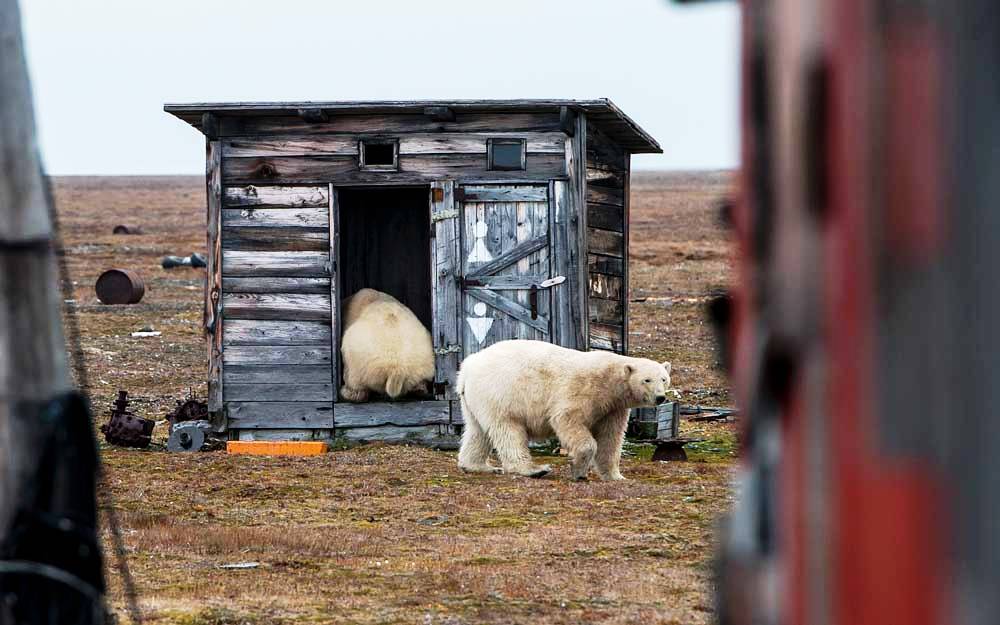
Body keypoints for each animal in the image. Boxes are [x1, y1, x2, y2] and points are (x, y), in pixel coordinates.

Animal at [458, 338, 672, 480]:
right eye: (647, 380)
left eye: (664, 378)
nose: (660, 397)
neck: (610, 380)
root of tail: (467, 367)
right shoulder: (582, 389)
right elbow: (567, 419)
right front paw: (578, 471)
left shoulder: (613, 407)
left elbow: (610, 437)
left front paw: (616, 476)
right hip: (501, 393)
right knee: (508, 430)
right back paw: (534, 469)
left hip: (476, 400)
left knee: (478, 431)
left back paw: (478, 466)